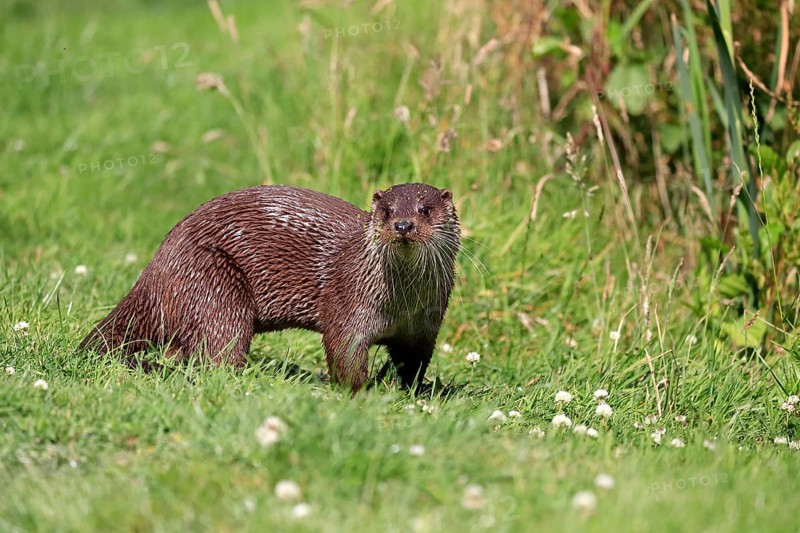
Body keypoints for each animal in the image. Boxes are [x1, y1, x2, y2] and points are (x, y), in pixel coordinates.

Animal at [79, 183, 460, 392]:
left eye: (425, 209)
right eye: (386, 210)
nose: (403, 225)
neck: (402, 304)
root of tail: (155, 266)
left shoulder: (425, 327)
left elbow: (414, 363)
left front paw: (413, 391)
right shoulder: (348, 304)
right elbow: (344, 351)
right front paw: (358, 391)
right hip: (213, 283)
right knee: (216, 352)